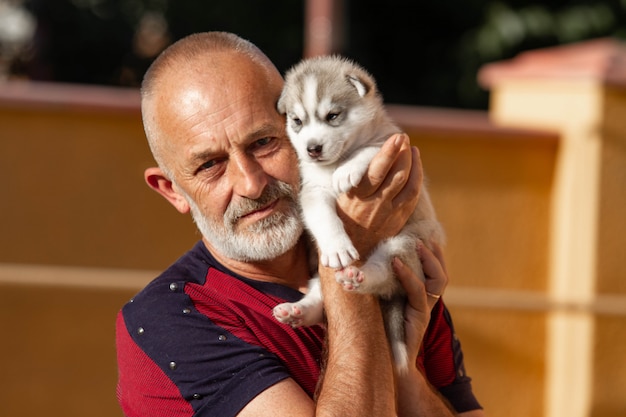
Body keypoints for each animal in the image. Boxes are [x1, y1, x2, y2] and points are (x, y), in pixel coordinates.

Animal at [270, 55, 442, 370]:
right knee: (319, 293)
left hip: (407, 244)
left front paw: (347, 171)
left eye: (332, 116)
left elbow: (369, 151)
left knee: (382, 273)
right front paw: (337, 247)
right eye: (297, 121)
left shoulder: (394, 144)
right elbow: (323, 217)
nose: (312, 149)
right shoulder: (312, 191)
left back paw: (359, 276)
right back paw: (298, 311)